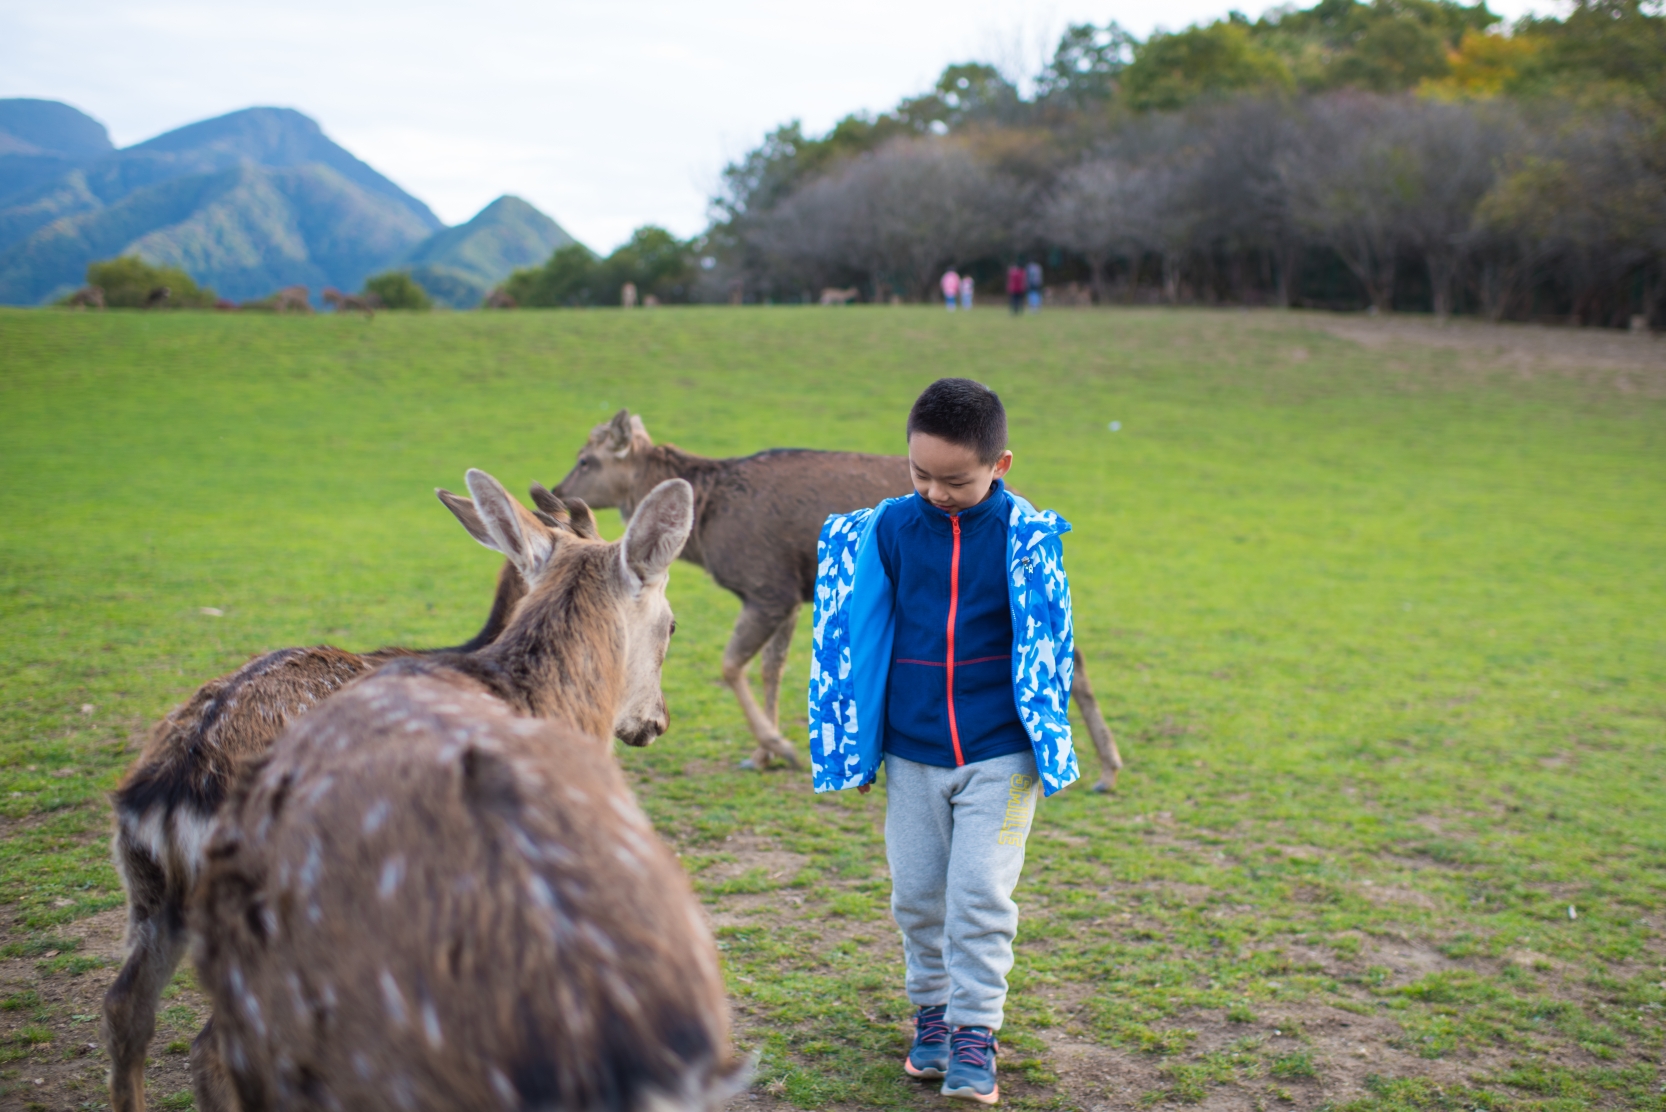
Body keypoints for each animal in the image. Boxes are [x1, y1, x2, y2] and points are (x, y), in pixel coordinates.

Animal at [553, 411, 1126, 790]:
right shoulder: (786, 593)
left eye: (587, 459)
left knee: (1069, 654)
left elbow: (732, 665)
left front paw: (782, 749)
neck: (711, 529)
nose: (556, 492)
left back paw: (1106, 767)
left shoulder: (768, 585)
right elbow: (772, 668)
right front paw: (762, 755)